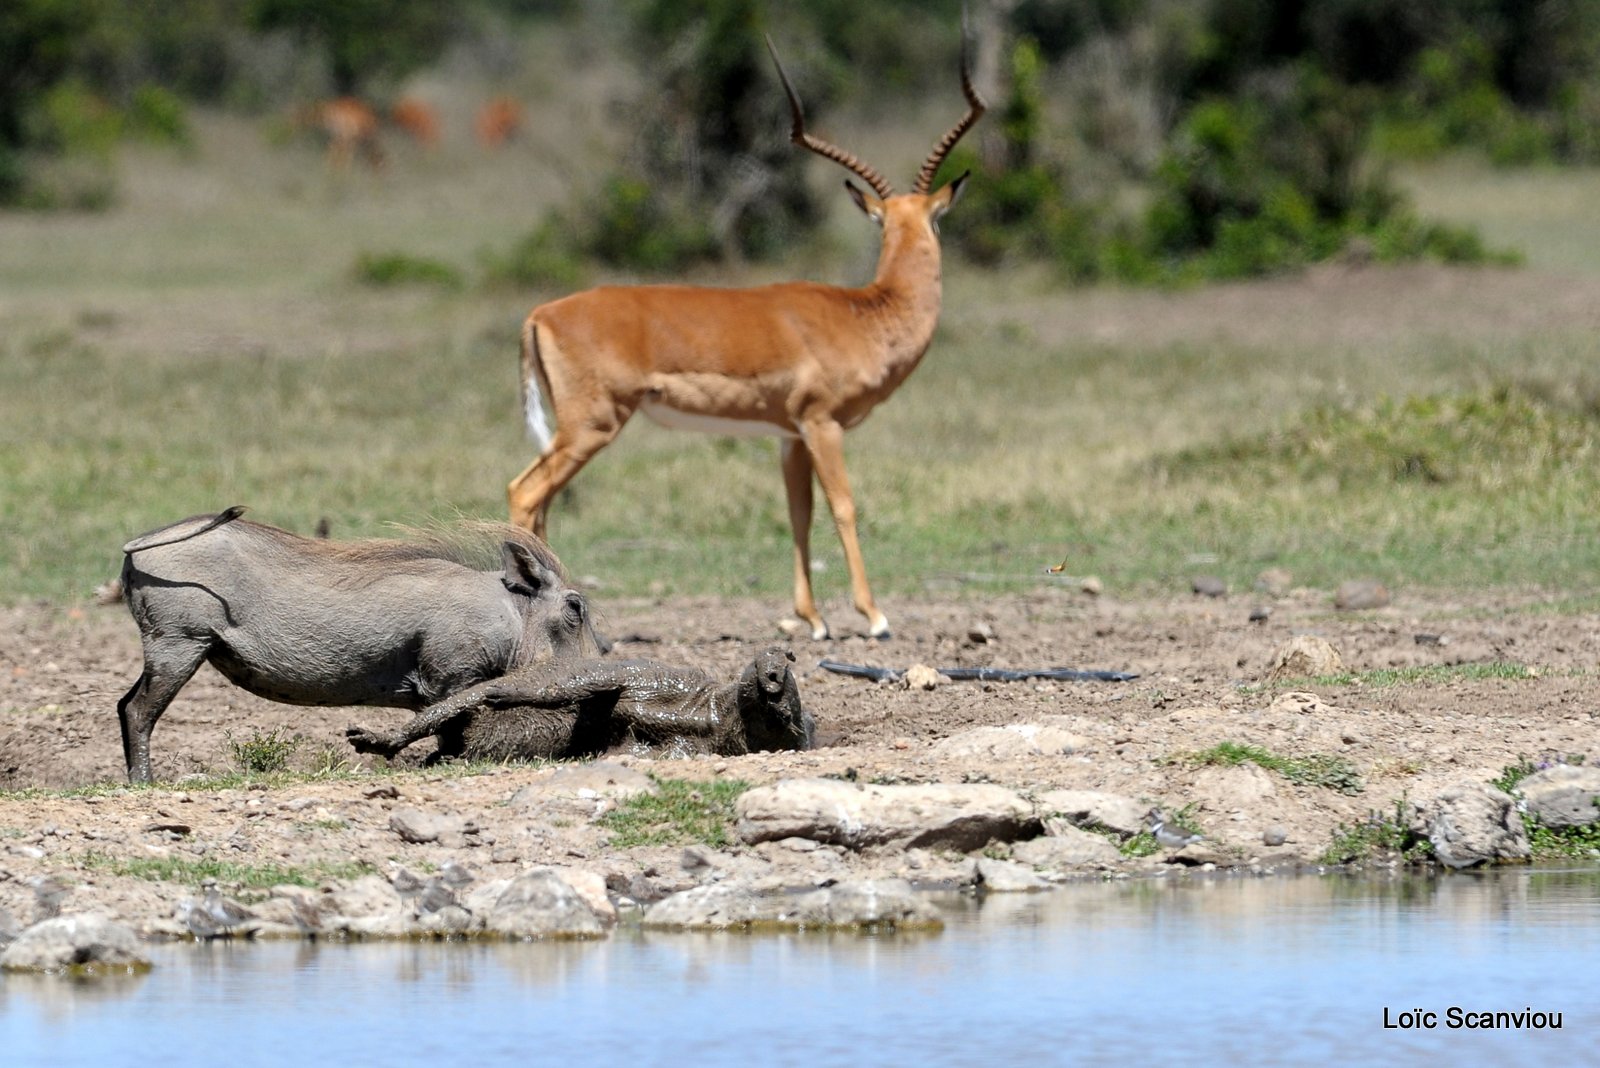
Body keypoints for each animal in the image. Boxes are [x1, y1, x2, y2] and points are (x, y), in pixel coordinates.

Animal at [512, 24, 985, 639]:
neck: (865, 314)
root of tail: (541, 313)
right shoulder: (823, 424)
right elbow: (844, 506)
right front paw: (874, 616)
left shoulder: (790, 435)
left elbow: (799, 514)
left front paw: (813, 619)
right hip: (592, 425)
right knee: (525, 493)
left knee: (540, 501)